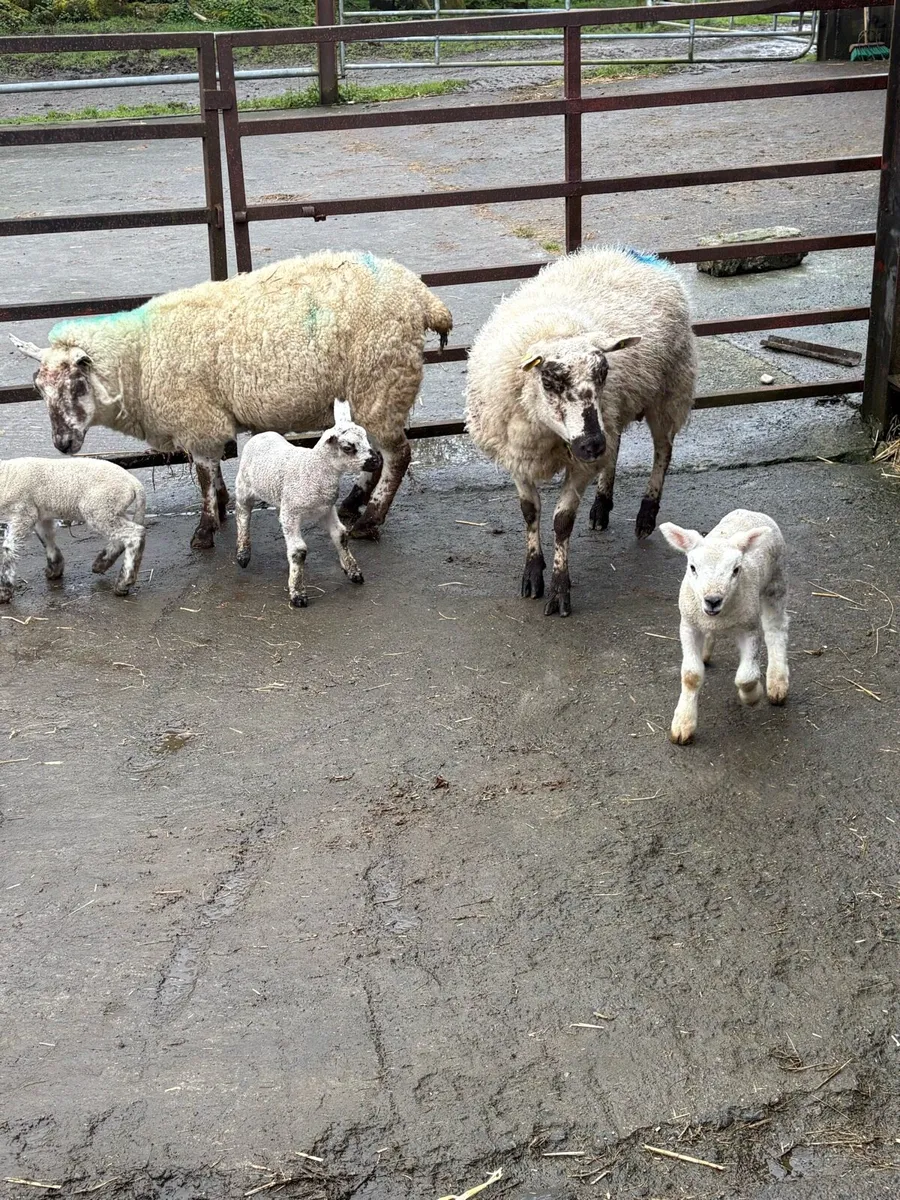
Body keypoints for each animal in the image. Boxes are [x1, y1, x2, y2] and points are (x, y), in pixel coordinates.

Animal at [0, 456, 146, 602]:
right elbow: (46, 537)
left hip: (99, 507)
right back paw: (101, 563)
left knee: (134, 533)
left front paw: (4, 591)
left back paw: (123, 583)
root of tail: (135, 483)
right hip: (112, 510)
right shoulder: (40, 513)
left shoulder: (24, 512)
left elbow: (9, 548)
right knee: (124, 533)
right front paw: (55, 568)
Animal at [10, 250, 452, 551]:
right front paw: (221, 507)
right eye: (39, 388)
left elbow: (205, 472)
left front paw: (205, 529)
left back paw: (369, 521)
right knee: (374, 455)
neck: (139, 356)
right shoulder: (200, 418)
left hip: (382, 381)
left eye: (77, 385)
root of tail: (422, 296)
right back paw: (353, 502)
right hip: (375, 391)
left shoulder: (196, 415)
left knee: (398, 456)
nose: (62, 444)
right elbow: (210, 470)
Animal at [235, 399, 380, 608]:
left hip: (281, 499)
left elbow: (341, 535)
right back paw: (243, 553)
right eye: (348, 447)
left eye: (366, 438)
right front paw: (298, 594)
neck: (314, 468)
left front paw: (353, 572)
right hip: (244, 487)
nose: (376, 461)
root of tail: (262, 434)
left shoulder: (326, 509)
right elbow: (299, 551)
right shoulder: (293, 514)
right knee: (243, 514)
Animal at [465, 247, 696, 616]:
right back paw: (602, 503)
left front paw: (560, 589)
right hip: (618, 412)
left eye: (603, 373)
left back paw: (647, 514)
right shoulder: (518, 454)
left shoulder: (581, 461)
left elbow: (562, 521)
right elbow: (529, 512)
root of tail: (630, 253)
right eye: (549, 381)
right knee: (617, 447)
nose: (591, 444)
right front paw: (533, 574)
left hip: (669, 392)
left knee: (663, 450)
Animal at [659, 509, 790, 745]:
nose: (713, 600)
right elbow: (691, 675)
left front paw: (753, 696)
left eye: (736, 570)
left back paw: (777, 682)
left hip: (777, 580)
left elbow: (747, 676)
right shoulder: (689, 625)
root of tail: (751, 511)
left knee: (776, 628)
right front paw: (683, 724)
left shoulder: (749, 628)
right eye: (692, 567)